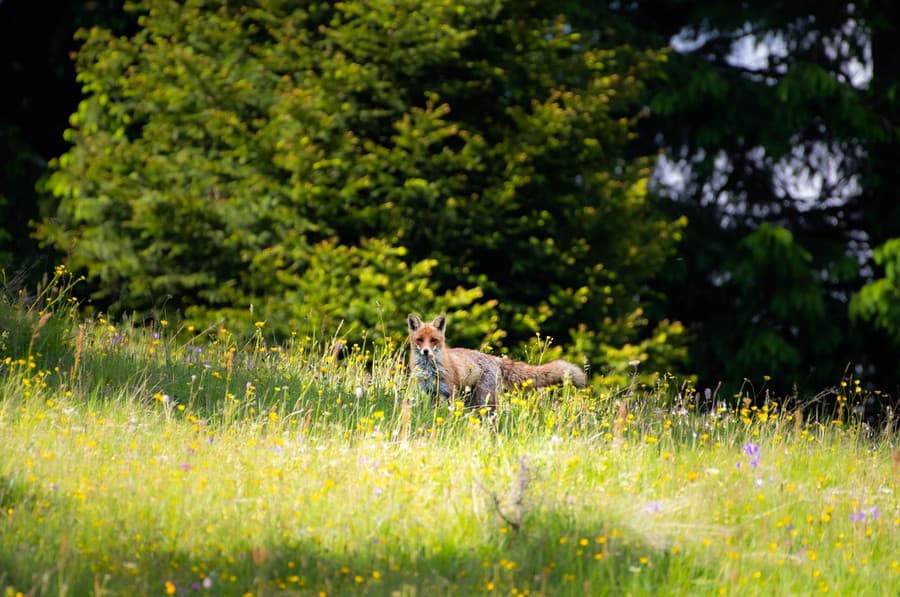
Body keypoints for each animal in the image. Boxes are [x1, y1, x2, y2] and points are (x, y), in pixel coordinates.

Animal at [410, 312, 592, 406]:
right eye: (420, 340)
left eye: (434, 340)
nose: (426, 351)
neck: (430, 369)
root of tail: (495, 359)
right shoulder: (432, 393)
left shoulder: (450, 392)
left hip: (484, 399)